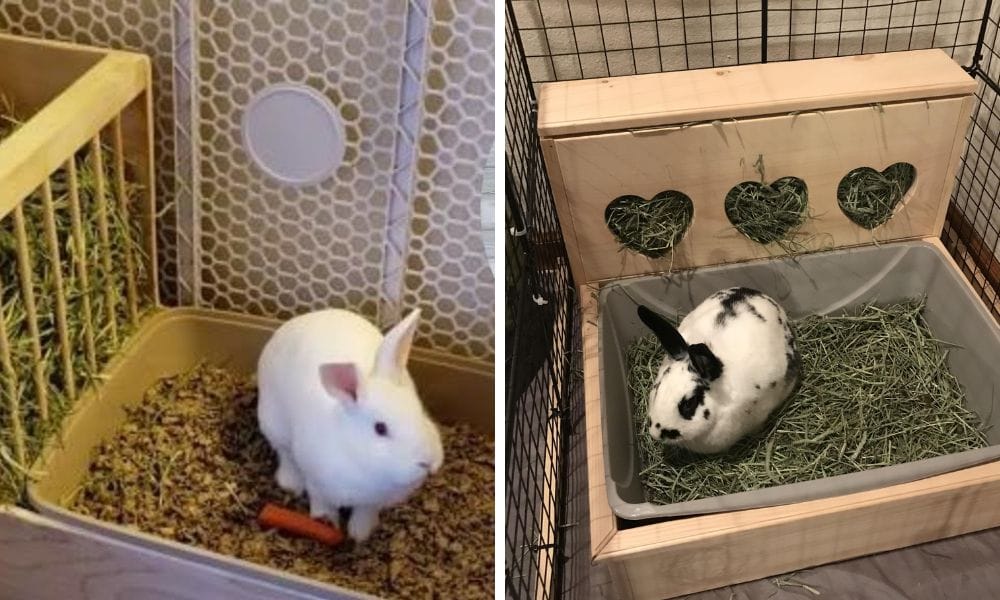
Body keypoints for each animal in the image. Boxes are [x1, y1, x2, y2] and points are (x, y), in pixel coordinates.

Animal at [256, 307, 444, 542]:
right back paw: (290, 484)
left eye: (420, 412)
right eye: (380, 428)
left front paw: (360, 534)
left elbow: (365, 512)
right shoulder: (317, 483)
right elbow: (321, 502)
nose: (428, 463)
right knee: (285, 453)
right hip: (273, 423)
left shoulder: (373, 501)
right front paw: (326, 521)